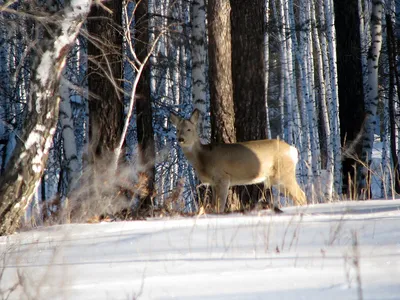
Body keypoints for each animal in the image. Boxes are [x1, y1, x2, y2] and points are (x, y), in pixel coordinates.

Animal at [170, 109, 306, 212]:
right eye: (177, 129)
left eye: (189, 129)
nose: (180, 139)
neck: (203, 158)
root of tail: (293, 150)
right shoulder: (213, 183)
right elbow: (214, 206)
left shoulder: (223, 178)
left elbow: (219, 206)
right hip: (276, 178)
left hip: (284, 174)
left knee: (301, 195)